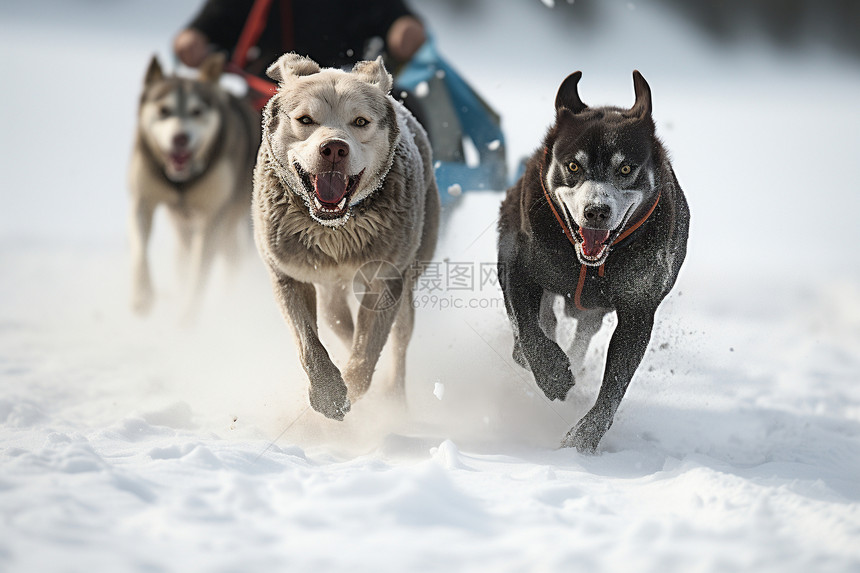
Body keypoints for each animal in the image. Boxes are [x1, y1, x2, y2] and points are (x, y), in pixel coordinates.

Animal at [127, 53, 260, 318]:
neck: (182, 181)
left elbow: (200, 273)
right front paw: (142, 295)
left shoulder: (213, 215)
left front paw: (188, 316)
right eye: (164, 110)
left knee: (232, 259)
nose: (180, 138)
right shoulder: (143, 200)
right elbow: (140, 249)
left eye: (197, 111)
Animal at [252, 53, 440, 418]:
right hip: (329, 289)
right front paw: (328, 392)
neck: (335, 230)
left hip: (410, 269)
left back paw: (394, 400)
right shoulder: (288, 274)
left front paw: (351, 388)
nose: (334, 149)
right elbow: (308, 342)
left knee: (398, 341)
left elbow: (366, 352)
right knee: (339, 320)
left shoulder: (385, 279)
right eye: (305, 119)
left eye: (360, 121)